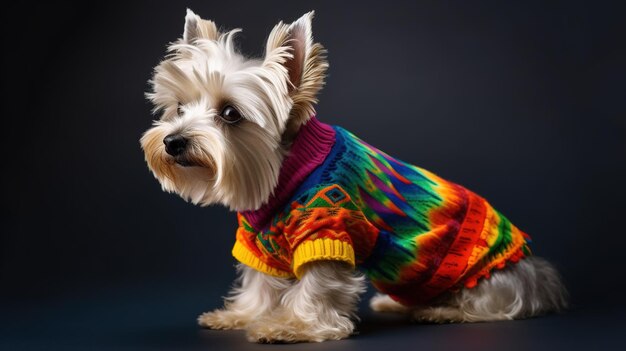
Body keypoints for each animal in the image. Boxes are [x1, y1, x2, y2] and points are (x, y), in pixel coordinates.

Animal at [140, 8, 564, 344]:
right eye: (179, 107)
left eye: (230, 114)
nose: (173, 142)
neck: (282, 171)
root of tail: (540, 278)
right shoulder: (256, 238)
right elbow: (258, 280)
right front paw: (242, 314)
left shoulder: (329, 224)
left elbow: (317, 282)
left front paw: (292, 326)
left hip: (488, 277)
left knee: (495, 305)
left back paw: (443, 311)